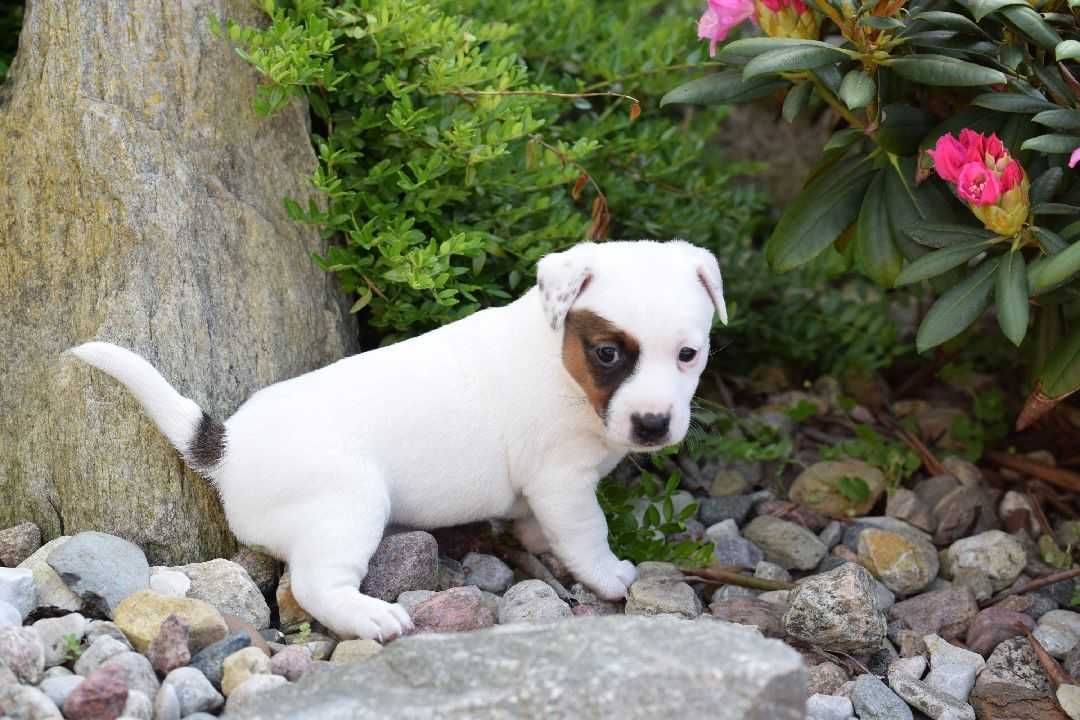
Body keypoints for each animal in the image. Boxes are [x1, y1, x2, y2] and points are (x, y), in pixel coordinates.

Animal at [67, 241, 725, 643]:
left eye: (688, 354)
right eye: (609, 353)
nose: (652, 423)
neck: (558, 355)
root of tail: (228, 448)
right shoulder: (563, 482)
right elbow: (588, 534)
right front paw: (611, 576)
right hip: (349, 505)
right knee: (315, 584)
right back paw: (370, 616)